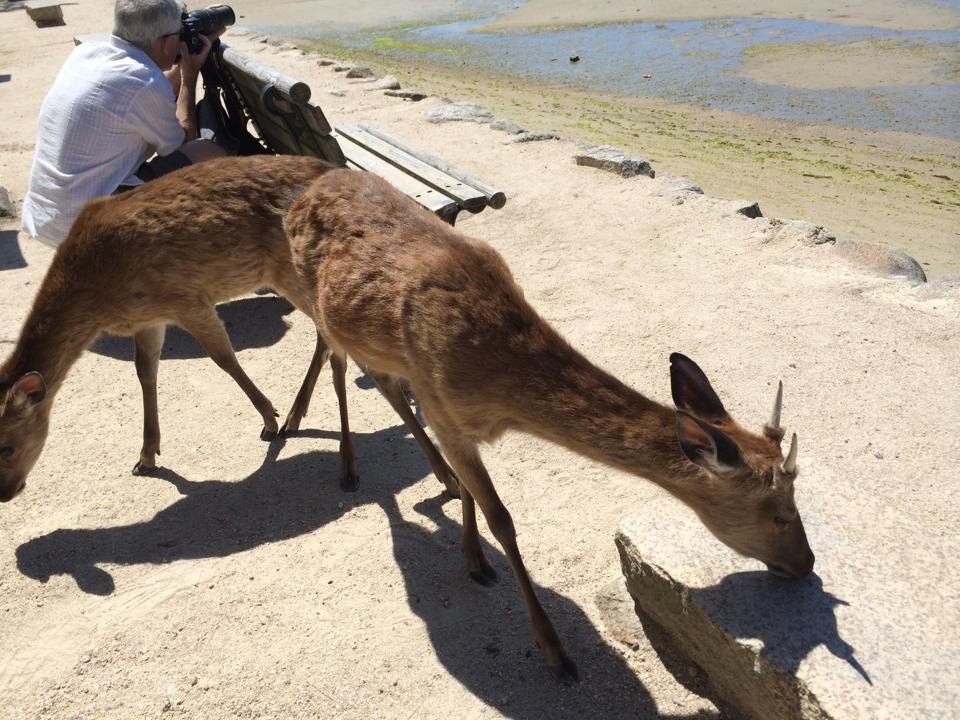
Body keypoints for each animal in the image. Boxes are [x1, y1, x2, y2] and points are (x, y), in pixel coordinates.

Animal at [0, 156, 458, 506]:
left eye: (5, 445)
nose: (5, 494)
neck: (96, 292)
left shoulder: (186, 297)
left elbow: (224, 358)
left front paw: (269, 419)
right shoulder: (148, 317)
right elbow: (145, 373)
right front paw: (146, 456)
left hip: (293, 274)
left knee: (334, 345)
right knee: (326, 340)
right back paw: (300, 419)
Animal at [284, 166, 816, 684]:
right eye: (780, 514)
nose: (806, 564)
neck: (495, 379)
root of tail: (304, 191)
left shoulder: (445, 413)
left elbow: (471, 490)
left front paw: (473, 557)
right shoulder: (441, 405)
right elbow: (502, 517)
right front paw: (555, 652)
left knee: (381, 379)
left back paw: (433, 478)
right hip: (311, 298)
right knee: (334, 359)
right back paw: (336, 459)